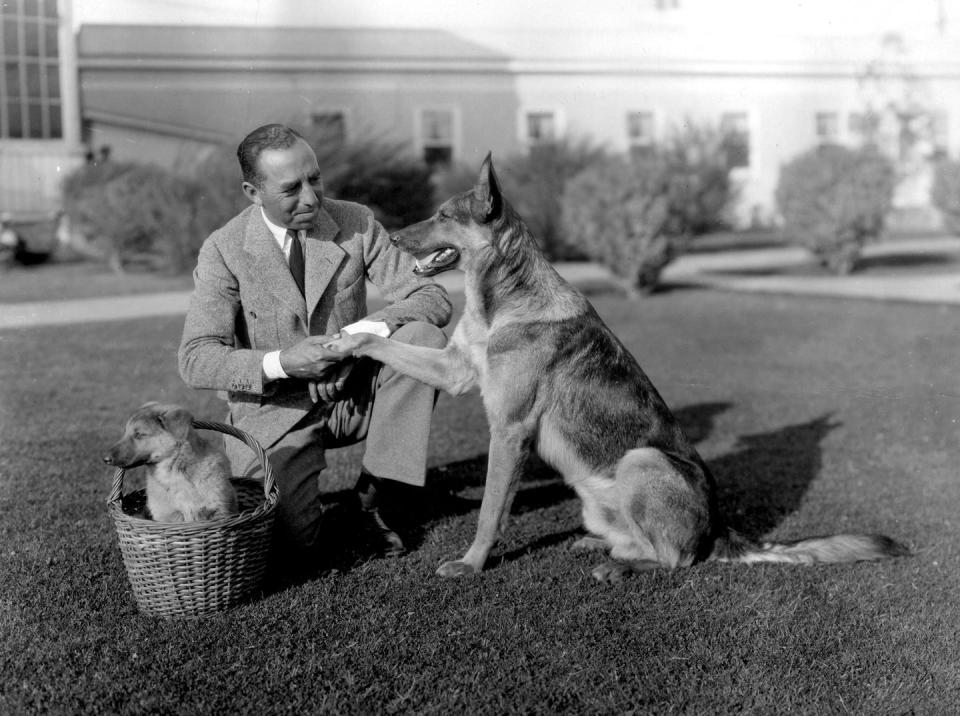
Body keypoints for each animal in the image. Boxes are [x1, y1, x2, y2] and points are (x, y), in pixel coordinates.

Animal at [102, 402, 238, 520]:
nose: (105, 459)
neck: (174, 471)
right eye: (125, 432)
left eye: (139, 435)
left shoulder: (219, 510)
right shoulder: (169, 516)